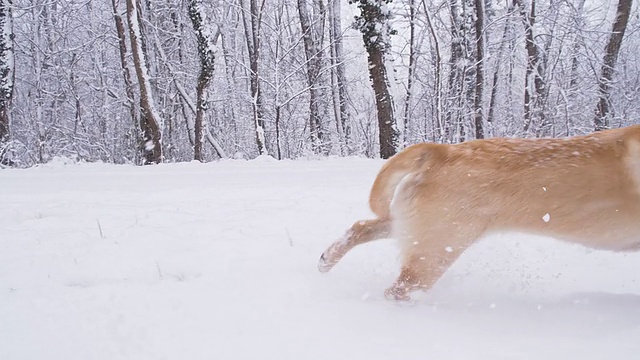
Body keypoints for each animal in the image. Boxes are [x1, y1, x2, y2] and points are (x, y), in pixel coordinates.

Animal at [318, 125, 640, 300]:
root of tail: (440, 150)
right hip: (437, 251)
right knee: (397, 290)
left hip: (413, 228)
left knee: (360, 227)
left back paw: (326, 260)